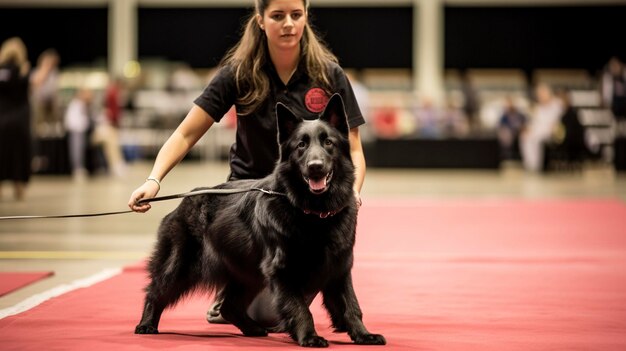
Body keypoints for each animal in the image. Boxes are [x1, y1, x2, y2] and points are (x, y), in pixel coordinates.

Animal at [134, 94, 382, 350]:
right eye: (301, 145)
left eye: (328, 143)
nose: (316, 167)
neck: (312, 214)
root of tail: (185, 200)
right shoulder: (283, 272)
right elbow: (300, 308)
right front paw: (309, 336)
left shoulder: (338, 268)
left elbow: (351, 306)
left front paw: (363, 334)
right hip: (182, 267)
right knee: (155, 292)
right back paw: (146, 323)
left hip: (248, 274)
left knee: (230, 305)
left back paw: (252, 329)